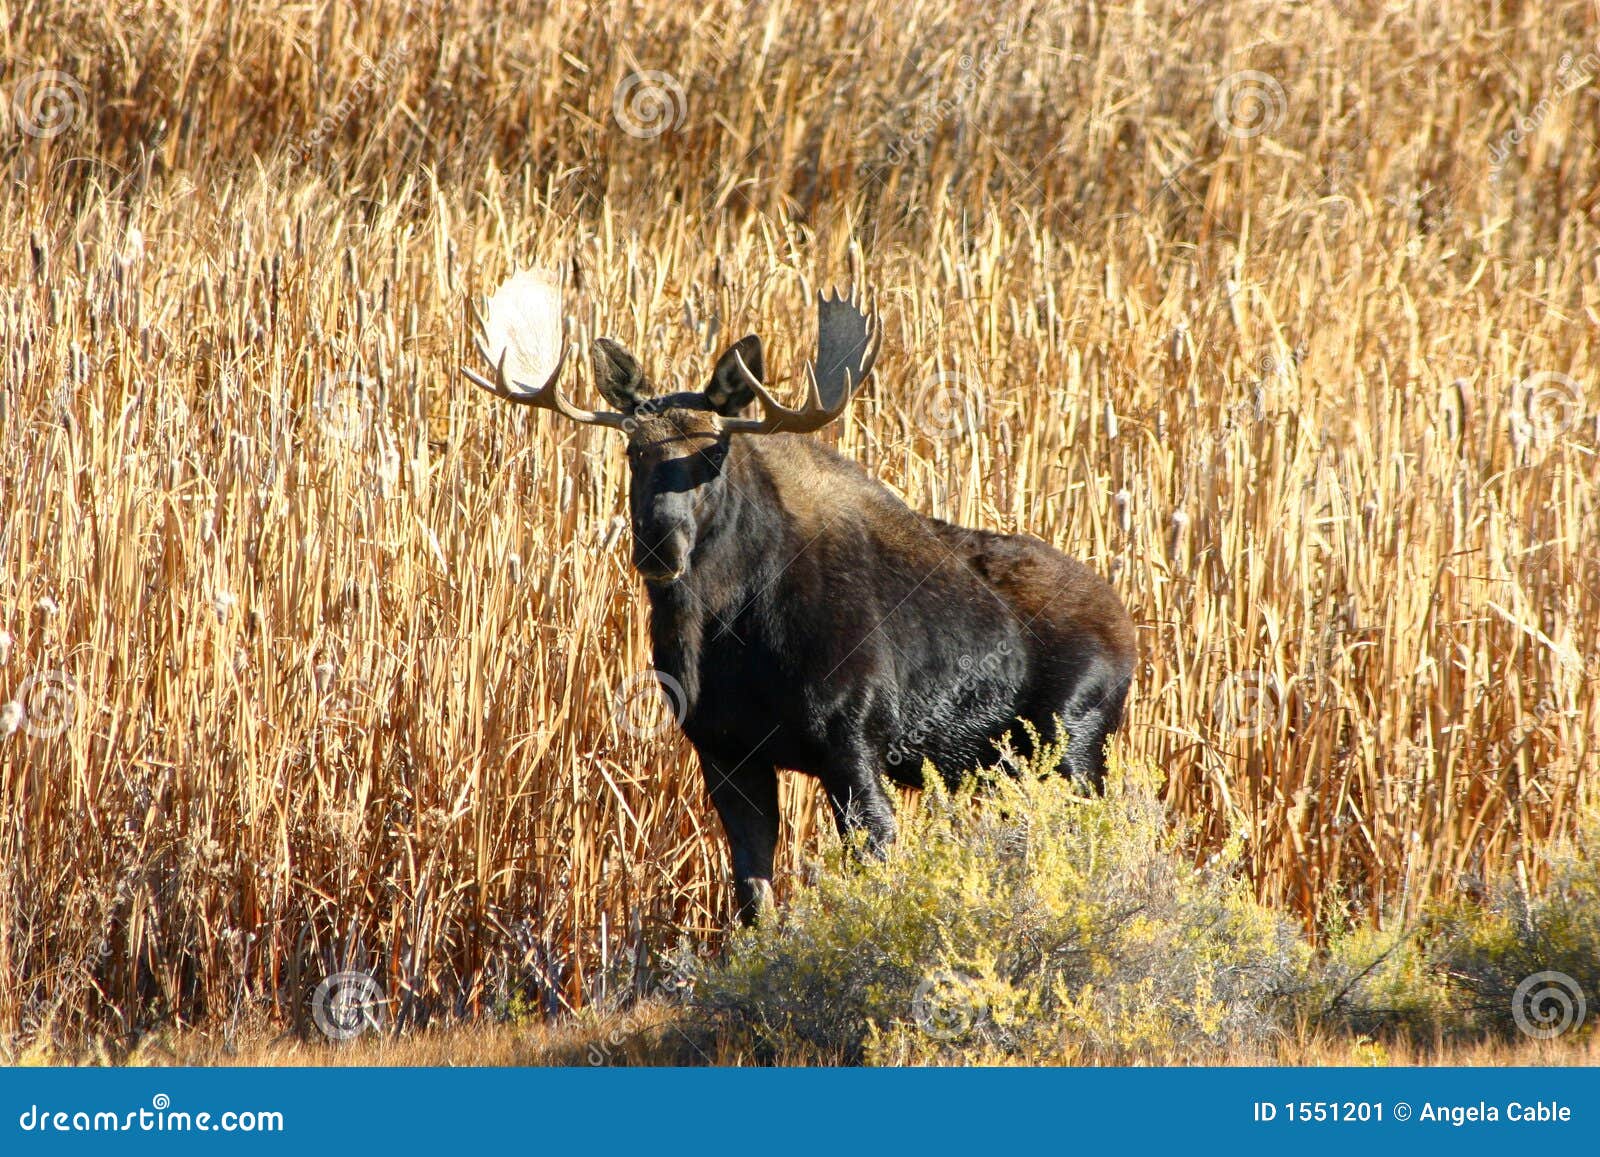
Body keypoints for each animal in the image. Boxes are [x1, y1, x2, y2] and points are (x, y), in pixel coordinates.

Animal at [464, 268, 1137, 924]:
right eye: (633, 449)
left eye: (715, 452)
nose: (660, 547)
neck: (723, 634)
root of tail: (1132, 634)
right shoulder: (726, 752)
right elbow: (753, 896)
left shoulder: (853, 743)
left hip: (1074, 747)